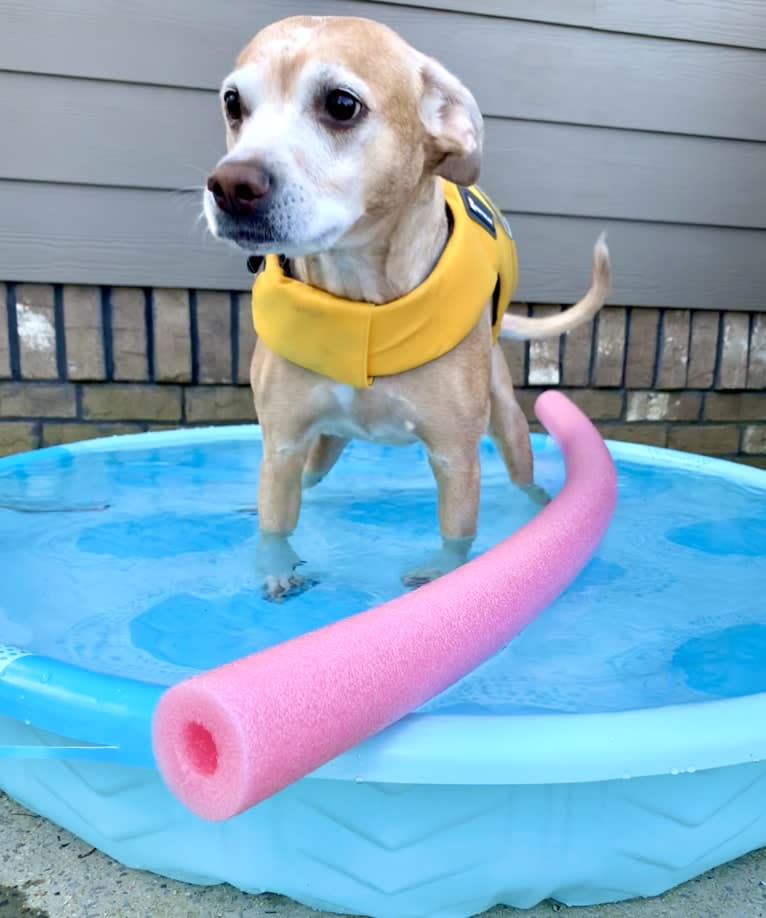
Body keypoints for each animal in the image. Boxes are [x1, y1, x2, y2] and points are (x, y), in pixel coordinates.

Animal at [204, 18, 612, 604]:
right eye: (233, 104)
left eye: (341, 104)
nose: (232, 185)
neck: (360, 302)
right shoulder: (282, 446)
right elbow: (276, 524)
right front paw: (276, 566)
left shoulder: (455, 457)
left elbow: (457, 536)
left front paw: (444, 574)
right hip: (321, 446)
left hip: (507, 423)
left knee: (524, 476)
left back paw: (541, 509)